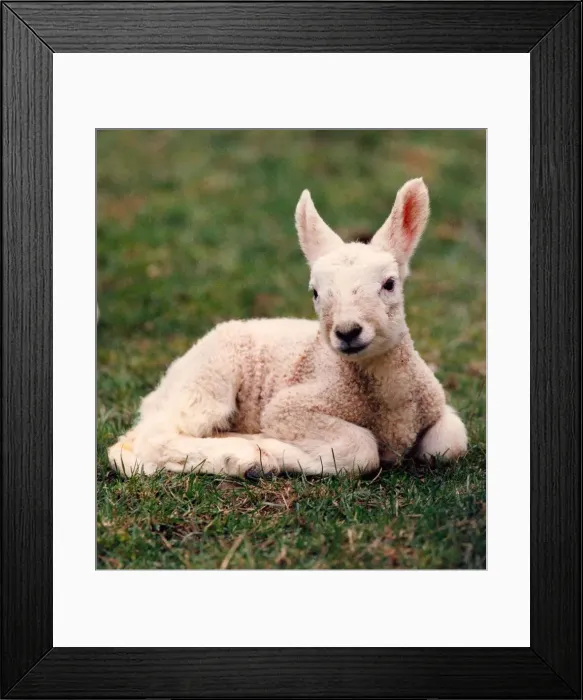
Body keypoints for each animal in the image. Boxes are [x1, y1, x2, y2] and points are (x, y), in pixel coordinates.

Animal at [108, 177, 468, 479]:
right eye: (315, 292)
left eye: (390, 284)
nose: (347, 332)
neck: (390, 408)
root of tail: (164, 385)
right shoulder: (290, 408)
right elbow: (359, 451)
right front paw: (270, 451)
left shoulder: (436, 405)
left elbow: (450, 443)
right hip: (208, 378)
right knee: (145, 440)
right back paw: (242, 457)